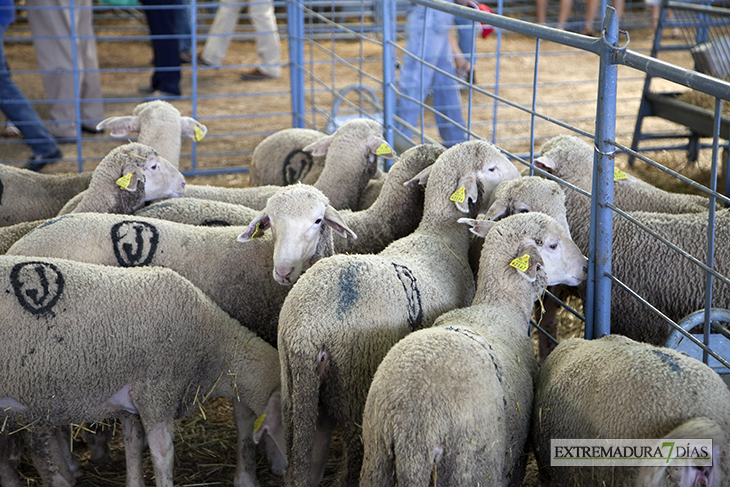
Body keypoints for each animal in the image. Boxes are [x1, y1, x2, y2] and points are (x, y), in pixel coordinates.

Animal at [276, 140, 520, 487]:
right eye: (491, 168)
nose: (518, 176)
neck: (439, 235)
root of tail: (305, 330)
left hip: (292, 383)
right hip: (354, 379)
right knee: (354, 447)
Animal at [358, 214, 584, 487]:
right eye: (552, 245)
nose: (585, 266)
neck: (497, 307)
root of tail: (412, 429)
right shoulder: (517, 455)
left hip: (376, 461)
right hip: (470, 467)